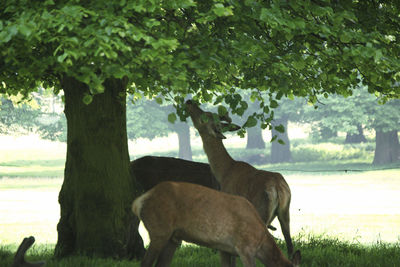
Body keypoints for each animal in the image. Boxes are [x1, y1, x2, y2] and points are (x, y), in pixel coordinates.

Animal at [131, 182, 300, 267]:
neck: (261, 242)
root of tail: (138, 202)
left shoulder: (225, 248)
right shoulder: (245, 247)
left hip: (173, 237)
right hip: (159, 230)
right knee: (145, 263)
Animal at [187, 100, 294, 262]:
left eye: (204, 116)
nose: (190, 101)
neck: (224, 172)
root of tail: (277, 188)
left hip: (262, 213)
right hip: (285, 213)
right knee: (291, 247)